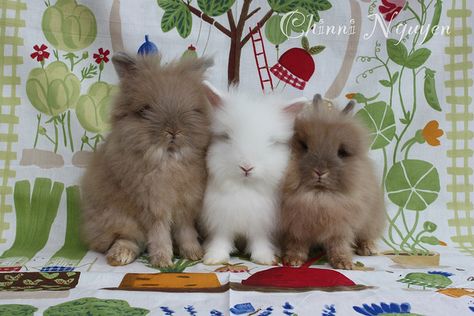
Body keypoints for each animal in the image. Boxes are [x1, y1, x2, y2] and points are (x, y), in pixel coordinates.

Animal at [80, 52, 214, 266]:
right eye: (144, 111)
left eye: (194, 110)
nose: (174, 131)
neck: (169, 161)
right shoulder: (153, 208)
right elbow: (159, 235)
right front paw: (163, 261)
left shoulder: (185, 208)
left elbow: (186, 232)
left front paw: (194, 254)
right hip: (118, 219)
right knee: (127, 239)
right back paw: (119, 257)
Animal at [200, 85, 304, 266]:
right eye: (226, 137)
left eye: (272, 142)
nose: (246, 167)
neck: (245, 187)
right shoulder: (221, 223)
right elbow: (221, 241)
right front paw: (214, 258)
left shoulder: (261, 226)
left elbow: (259, 241)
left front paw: (265, 259)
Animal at [282, 94, 386, 270]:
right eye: (304, 146)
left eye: (341, 152)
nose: (319, 171)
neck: (318, 195)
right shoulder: (296, 227)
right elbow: (297, 244)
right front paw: (293, 261)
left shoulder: (341, 228)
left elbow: (339, 245)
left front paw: (344, 263)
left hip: (371, 220)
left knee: (366, 235)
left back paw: (368, 249)